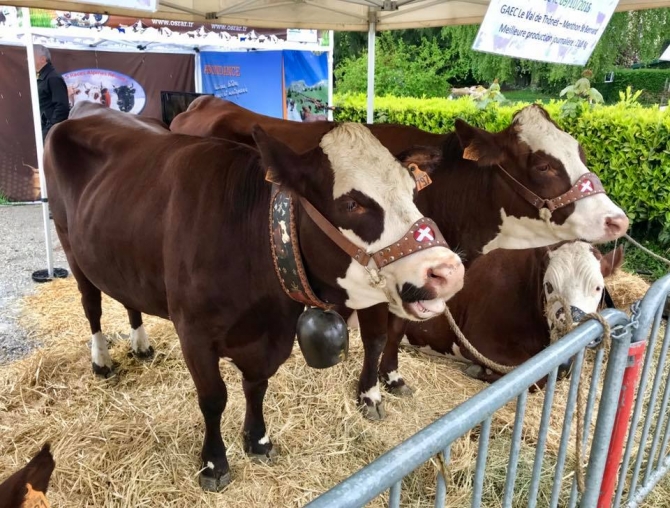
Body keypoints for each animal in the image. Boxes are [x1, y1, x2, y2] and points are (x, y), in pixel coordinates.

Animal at [42, 102, 462, 488]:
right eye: (351, 203)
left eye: (412, 191)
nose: (448, 271)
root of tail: (87, 109)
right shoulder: (193, 332)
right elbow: (213, 398)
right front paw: (214, 464)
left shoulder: (270, 338)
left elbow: (257, 386)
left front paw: (257, 440)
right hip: (71, 246)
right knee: (92, 305)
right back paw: (101, 360)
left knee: (129, 298)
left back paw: (141, 345)